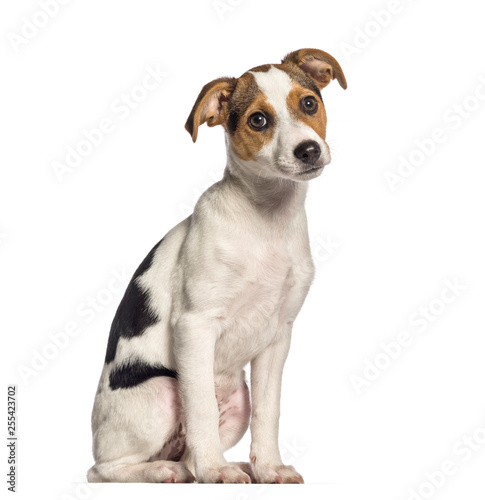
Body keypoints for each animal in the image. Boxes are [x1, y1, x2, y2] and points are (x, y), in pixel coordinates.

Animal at [86, 47, 344, 484]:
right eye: (258, 120)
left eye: (309, 104)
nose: (308, 150)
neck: (265, 219)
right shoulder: (194, 325)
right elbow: (201, 409)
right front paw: (215, 472)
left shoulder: (278, 337)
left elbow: (268, 412)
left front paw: (268, 467)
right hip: (161, 391)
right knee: (103, 469)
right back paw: (165, 470)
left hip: (237, 401)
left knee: (187, 454)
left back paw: (225, 465)